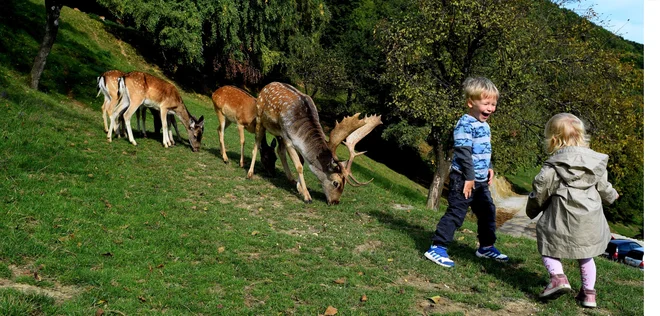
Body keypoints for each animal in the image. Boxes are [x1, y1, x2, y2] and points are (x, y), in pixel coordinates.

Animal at [246, 82, 382, 205]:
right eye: (336, 183)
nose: (335, 202)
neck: (300, 135)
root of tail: (267, 85)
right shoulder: (288, 140)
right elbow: (299, 166)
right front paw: (307, 196)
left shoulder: (291, 141)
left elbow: (300, 161)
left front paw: (299, 188)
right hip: (260, 118)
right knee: (257, 144)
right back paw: (250, 173)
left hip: (278, 132)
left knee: (279, 150)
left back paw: (290, 178)